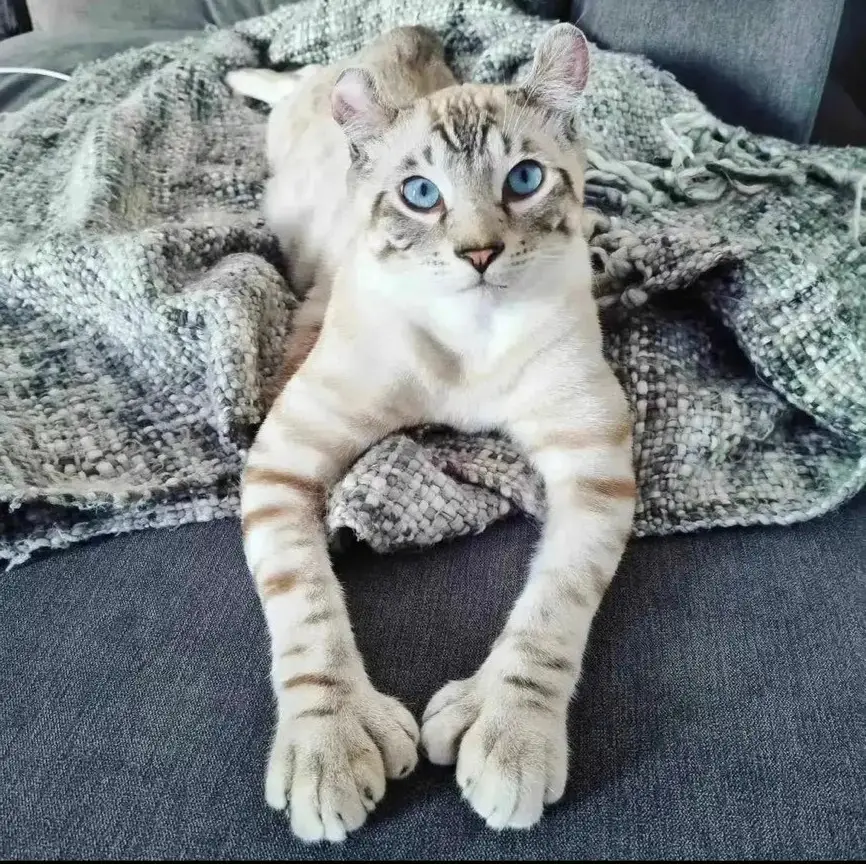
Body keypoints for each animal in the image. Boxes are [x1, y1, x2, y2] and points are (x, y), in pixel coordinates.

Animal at [230, 23, 636, 848]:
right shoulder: (283, 460)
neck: (471, 338)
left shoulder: (596, 465)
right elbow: (307, 607)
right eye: (422, 195)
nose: (479, 253)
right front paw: (327, 746)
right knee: (282, 85)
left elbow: (553, 611)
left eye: (524, 179)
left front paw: (512, 733)